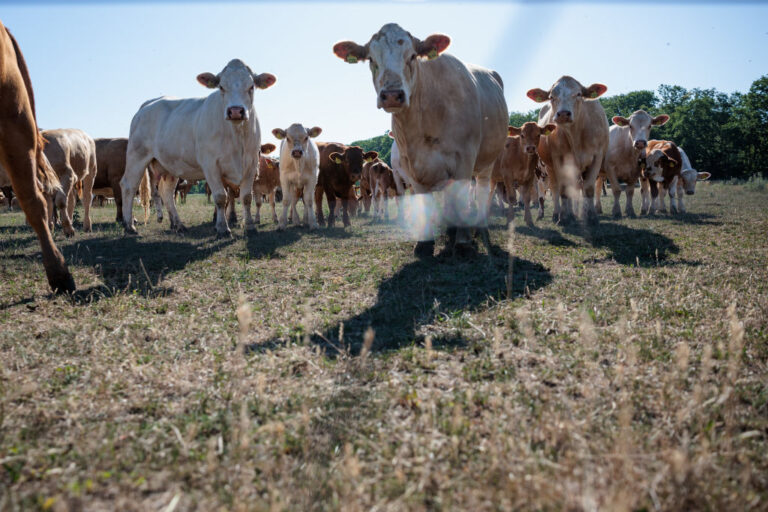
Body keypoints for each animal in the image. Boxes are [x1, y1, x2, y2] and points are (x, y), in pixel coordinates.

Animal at [120, 58, 276, 236]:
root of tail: (148, 104)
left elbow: (246, 197)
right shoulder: (210, 165)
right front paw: (222, 228)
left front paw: (249, 226)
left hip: (170, 165)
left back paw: (178, 224)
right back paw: (129, 225)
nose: (236, 111)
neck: (237, 138)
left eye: (251, 87)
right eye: (221, 87)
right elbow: (220, 197)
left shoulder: (250, 165)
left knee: (167, 193)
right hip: (137, 155)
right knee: (128, 186)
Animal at [332, 23, 508, 256]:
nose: (392, 94)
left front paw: (463, 242)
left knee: (480, 190)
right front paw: (425, 242)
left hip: (487, 162)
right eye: (371, 58)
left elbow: (463, 198)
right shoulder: (411, 167)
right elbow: (424, 201)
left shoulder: (464, 158)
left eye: (413, 56)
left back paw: (479, 228)